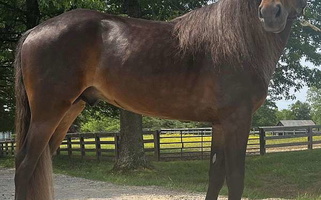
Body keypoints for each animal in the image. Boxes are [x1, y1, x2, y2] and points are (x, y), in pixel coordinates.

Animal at [13, 0, 306, 199]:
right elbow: (235, 179)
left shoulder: (220, 124)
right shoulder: (238, 120)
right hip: (48, 113)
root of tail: (33, 32)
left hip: (68, 111)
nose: (271, 13)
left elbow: (216, 176)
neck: (238, 41)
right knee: (24, 168)